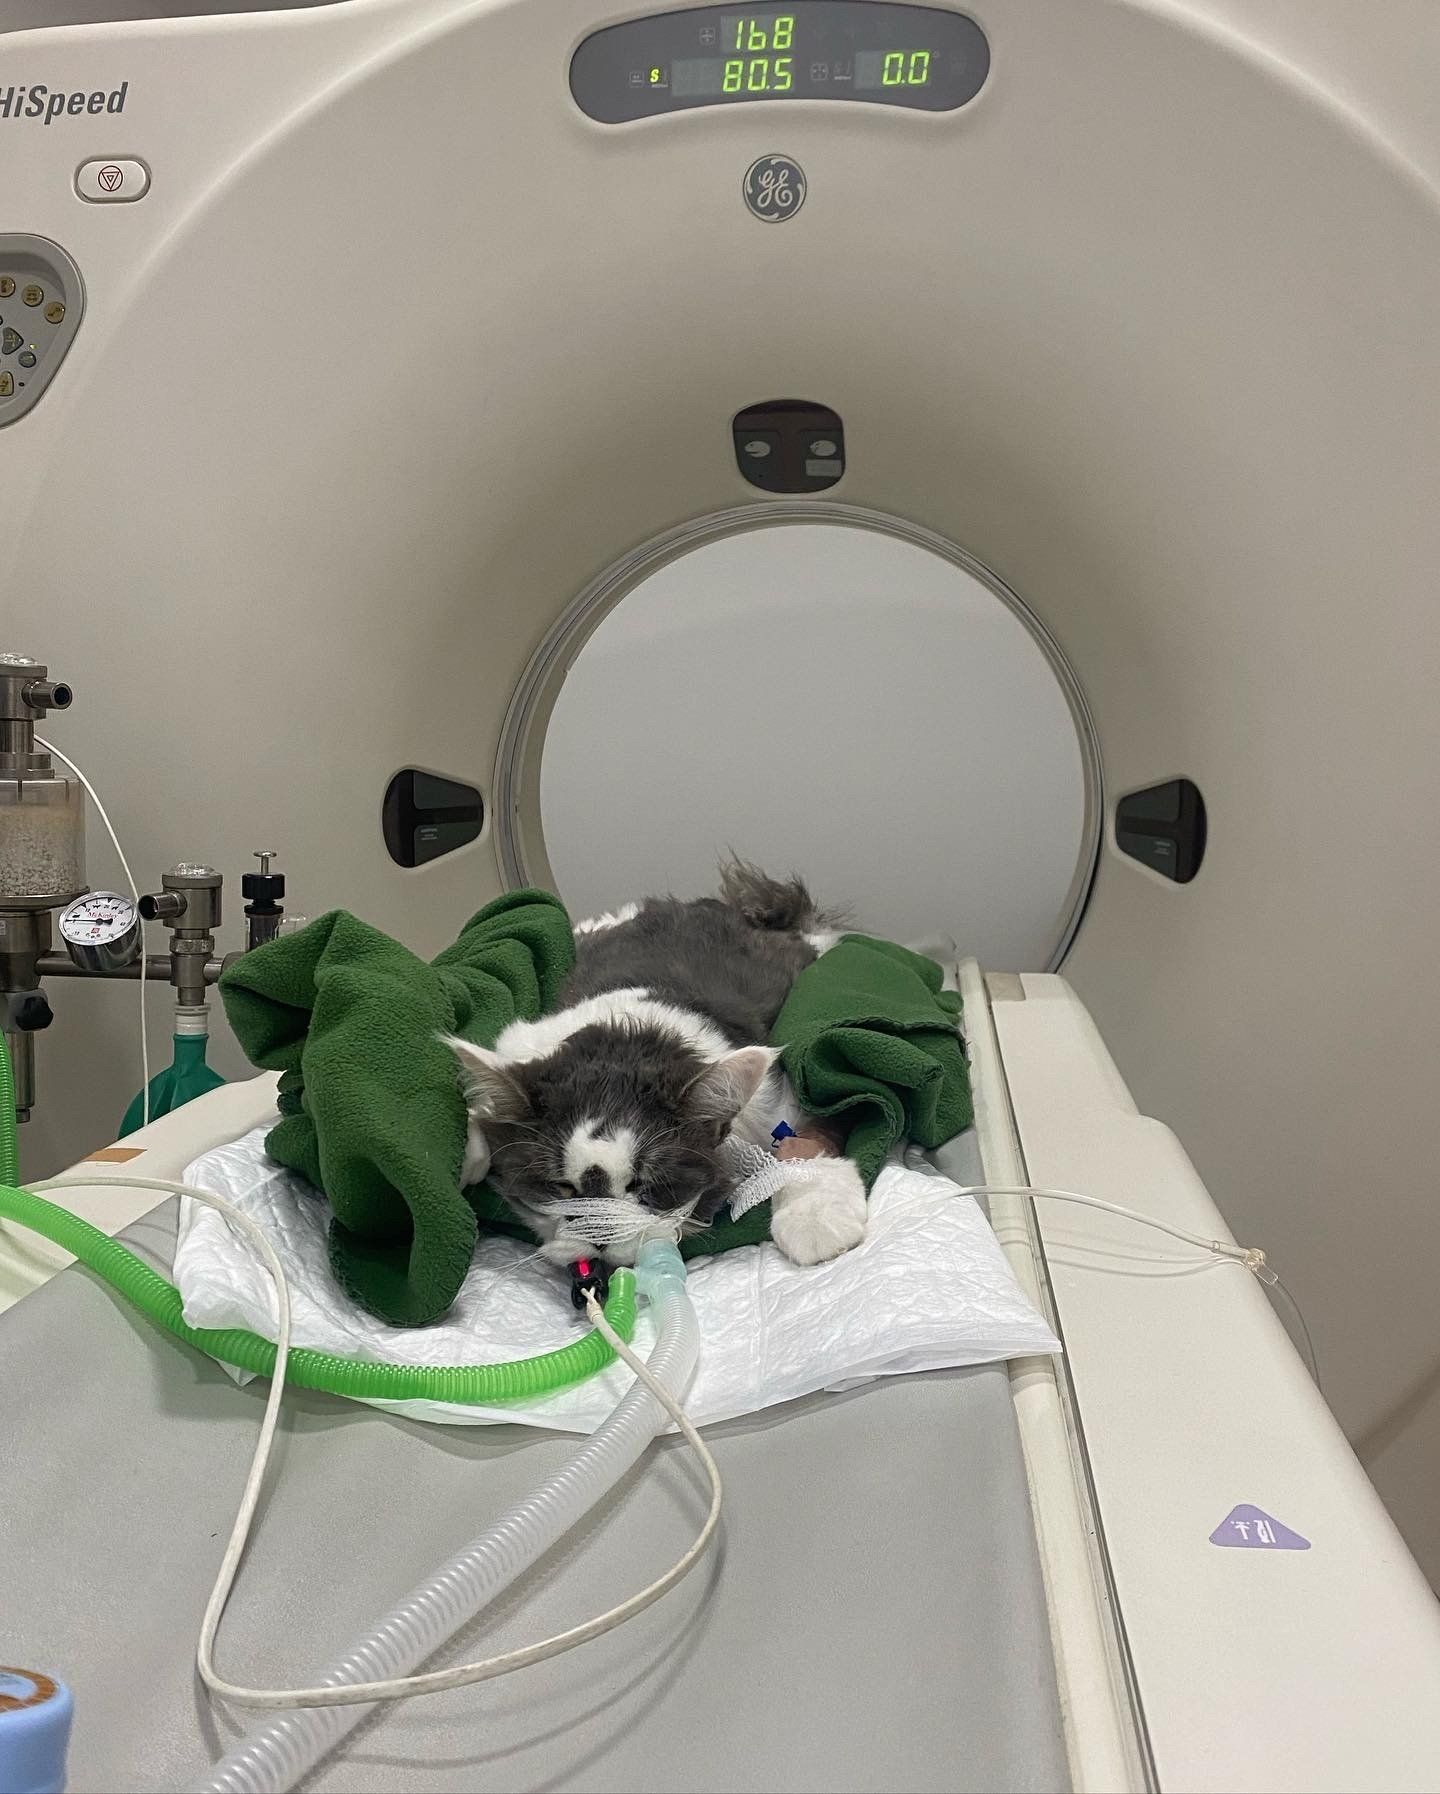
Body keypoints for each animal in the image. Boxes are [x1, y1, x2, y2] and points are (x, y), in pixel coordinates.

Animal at [446, 861, 869, 1268]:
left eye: (644, 1185)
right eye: (560, 1186)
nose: (600, 1238)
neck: (627, 1034)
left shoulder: (787, 1096)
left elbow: (803, 1142)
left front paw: (816, 1221)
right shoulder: (518, 1044)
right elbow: (478, 1115)